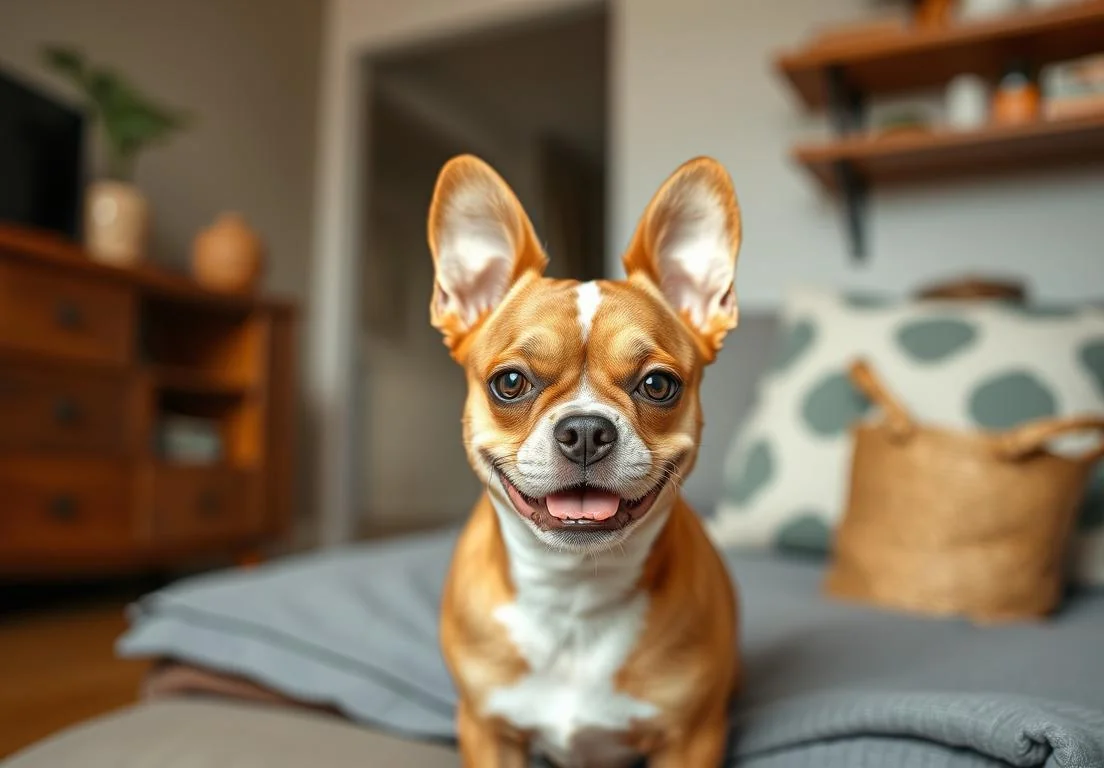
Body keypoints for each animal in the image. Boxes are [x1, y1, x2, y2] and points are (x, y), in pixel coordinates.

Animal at [430, 153, 741, 763]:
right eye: (509, 383)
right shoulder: (486, 730)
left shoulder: (691, 740)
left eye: (659, 385)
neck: (573, 595)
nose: (586, 430)